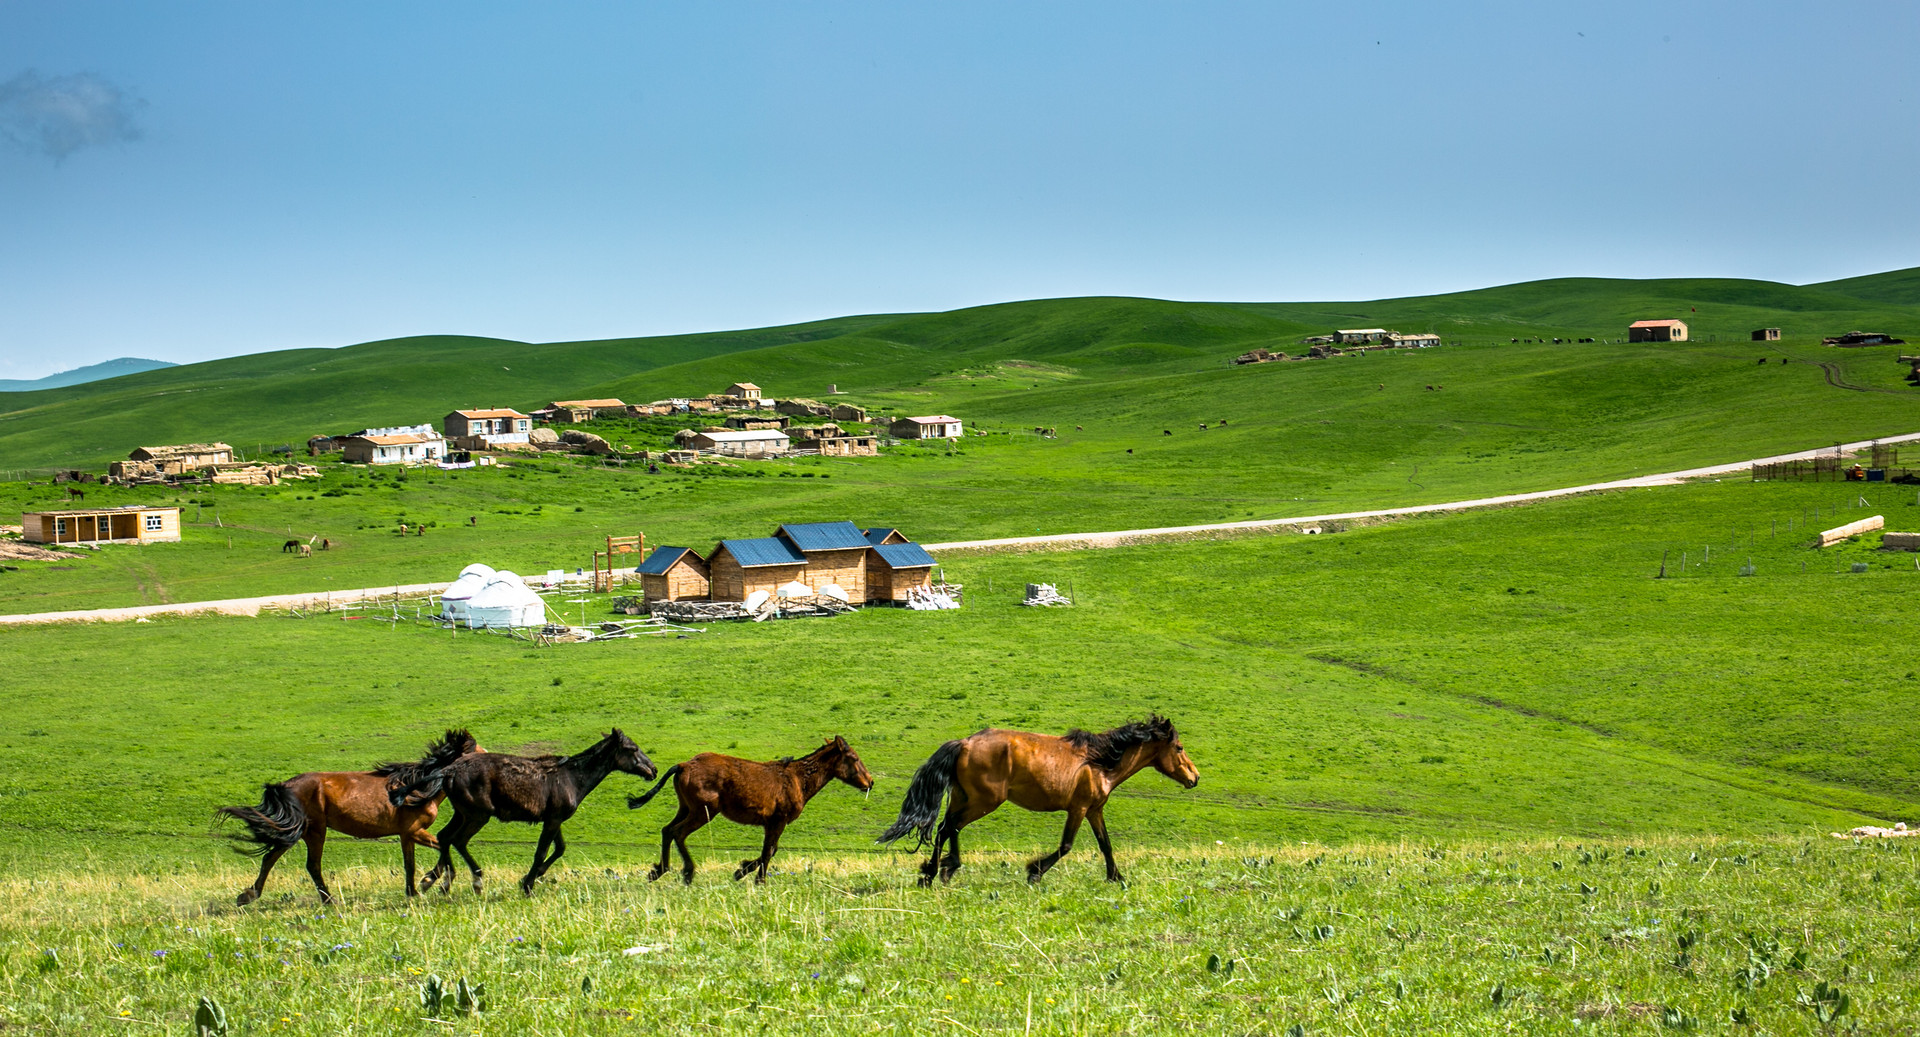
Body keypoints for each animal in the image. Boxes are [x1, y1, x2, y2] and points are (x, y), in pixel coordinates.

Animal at [218, 729, 483, 906]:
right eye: (478, 751)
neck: (416, 788)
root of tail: (286, 786)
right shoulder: (414, 831)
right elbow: (443, 848)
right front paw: (429, 882)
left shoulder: (406, 835)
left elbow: (411, 864)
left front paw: (414, 891)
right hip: (315, 831)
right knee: (311, 865)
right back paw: (329, 900)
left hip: (300, 831)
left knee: (271, 857)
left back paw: (248, 895)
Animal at [391, 729, 660, 891]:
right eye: (632, 749)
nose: (654, 770)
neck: (571, 777)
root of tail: (449, 770)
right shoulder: (552, 820)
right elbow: (541, 852)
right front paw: (528, 884)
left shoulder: (554, 820)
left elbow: (560, 849)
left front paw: (534, 876)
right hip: (478, 815)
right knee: (457, 840)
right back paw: (473, 880)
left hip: (462, 813)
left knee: (445, 837)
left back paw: (436, 881)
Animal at [625, 737, 875, 883]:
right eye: (853, 758)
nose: (870, 782)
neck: (798, 779)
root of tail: (684, 765)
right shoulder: (778, 821)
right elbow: (768, 851)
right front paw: (757, 879)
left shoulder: (770, 823)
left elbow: (770, 850)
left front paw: (742, 870)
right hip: (703, 811)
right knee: (678, 833)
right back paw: (687, 872)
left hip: (686, 807)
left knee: (667, 830)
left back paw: (659, 870)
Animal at [879, 718, 1190, 887]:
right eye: (1179, 748)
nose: (1194, 777)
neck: (1100, 762)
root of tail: (964, 743)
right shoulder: (1078, 809)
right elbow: (1066, 846)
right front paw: (1034, 872)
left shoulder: (1094, 810)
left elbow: (1105, 845)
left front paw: (1117, 877)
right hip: (984, 801)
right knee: (950, 827)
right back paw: (941, 870)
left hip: (962, 797)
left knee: (946, 828)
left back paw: (934, 872)